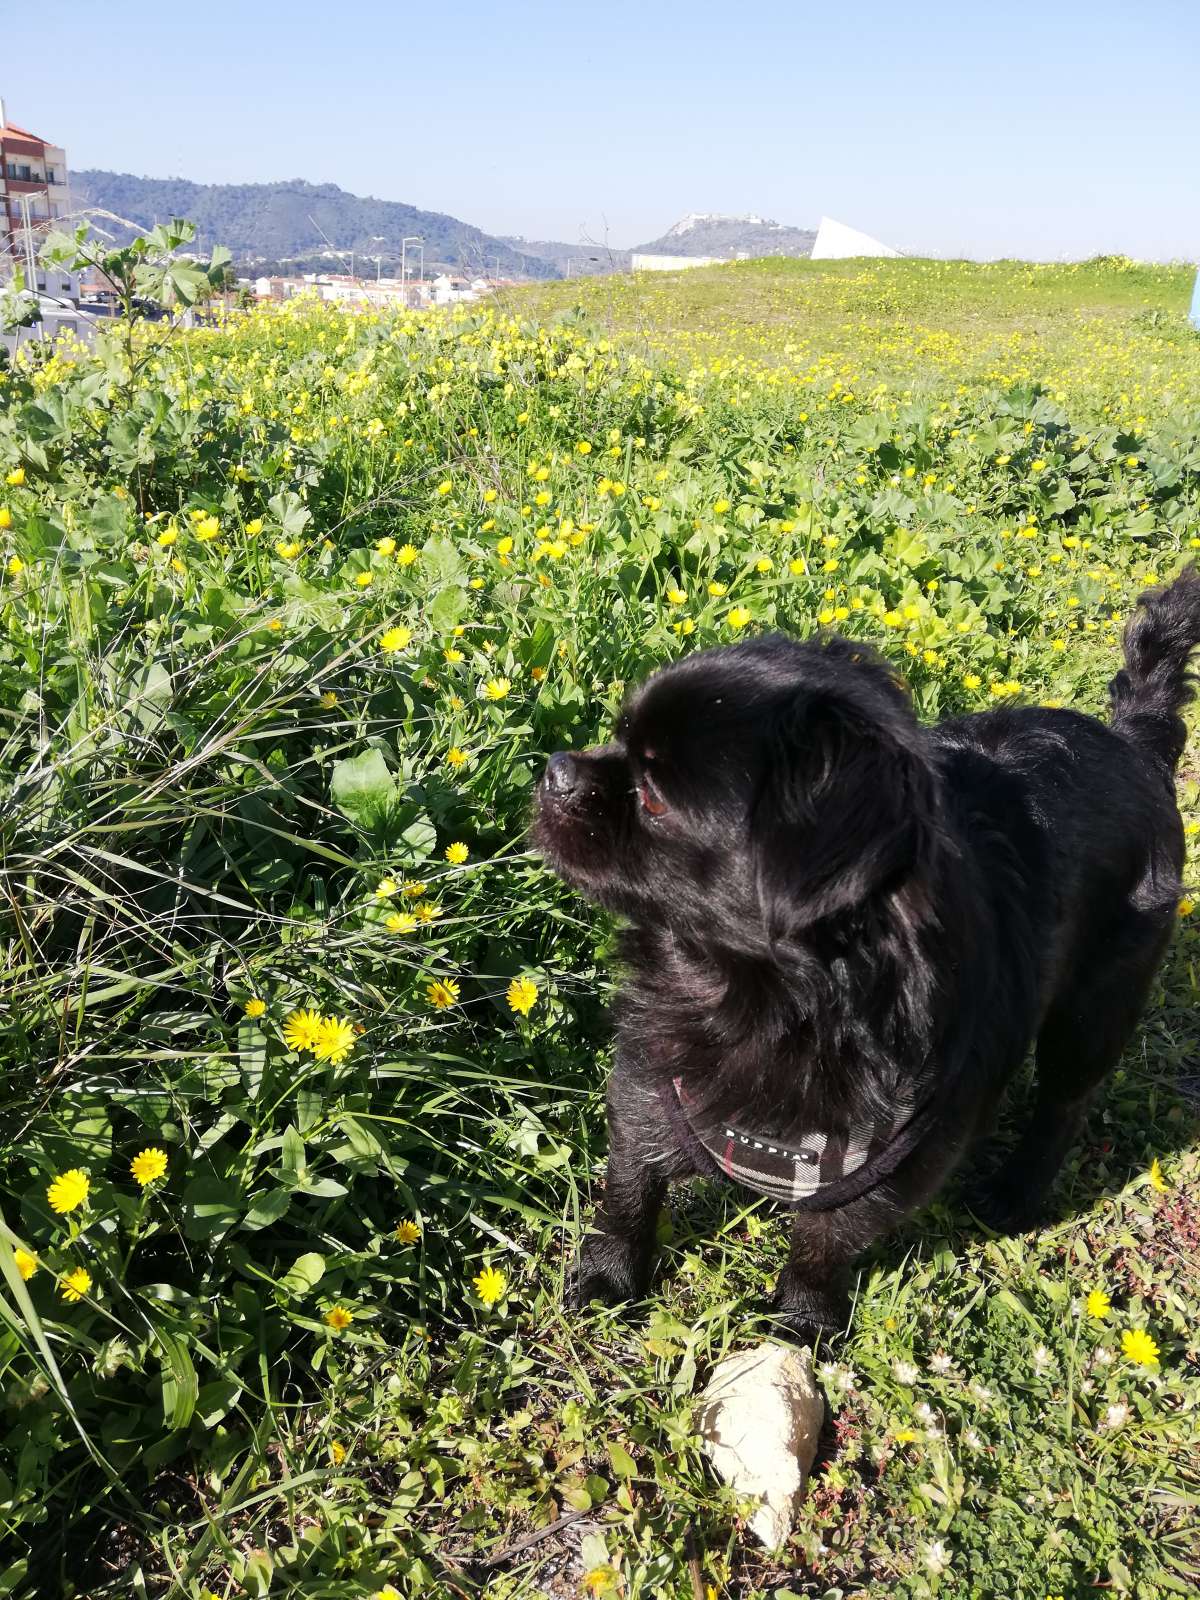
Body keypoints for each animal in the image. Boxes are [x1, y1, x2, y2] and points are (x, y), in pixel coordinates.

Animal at [537, 566, 1200, 1337]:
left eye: (654, 798)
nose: (557, 769)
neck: (758, 996)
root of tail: (1136, 743)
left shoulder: (887, 1164)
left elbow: (823, 1243)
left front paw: (800, 1320)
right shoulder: (650, 1079)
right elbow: (630, 1186)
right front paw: (609, 1275)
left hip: (1095, 1009)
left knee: (1066, 1102)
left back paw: (1016, 1189)